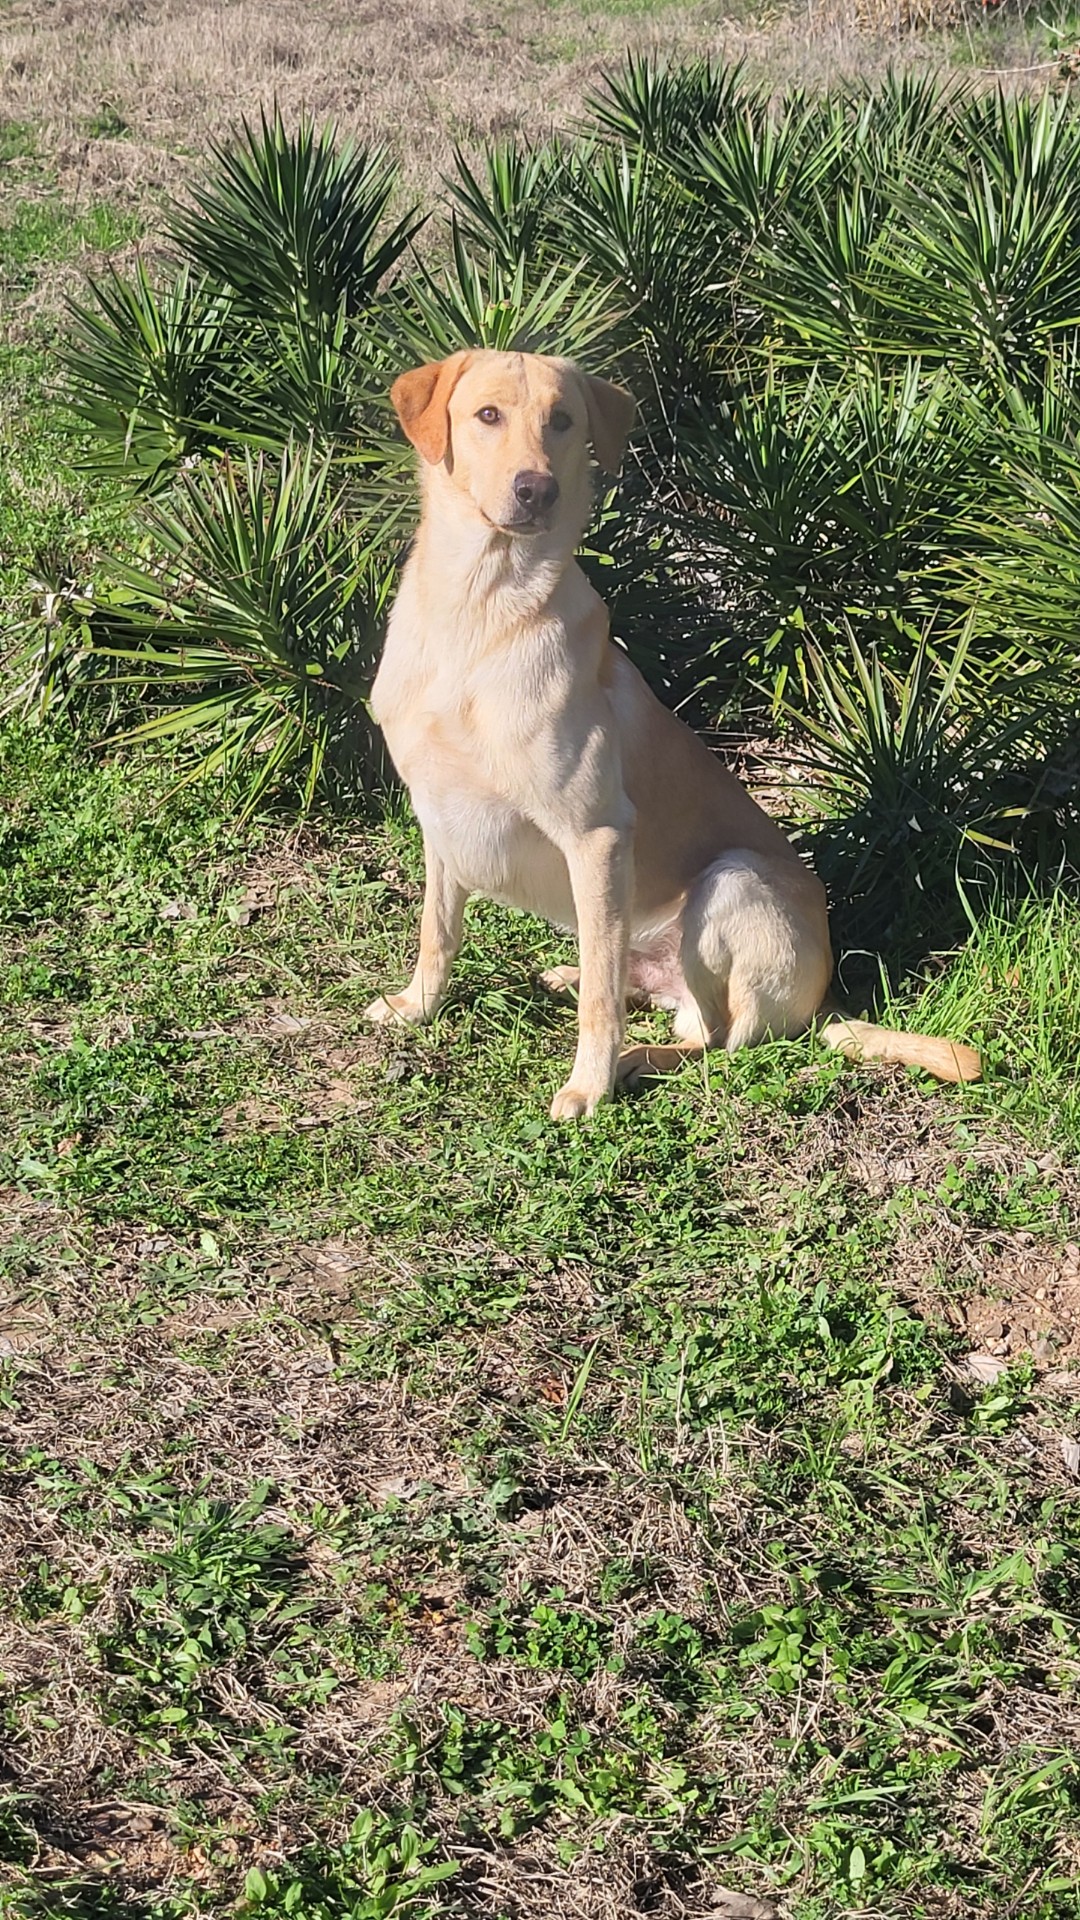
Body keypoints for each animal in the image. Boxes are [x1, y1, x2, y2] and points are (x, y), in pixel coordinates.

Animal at [365, 349, 980, 1118]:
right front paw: (416, 1006)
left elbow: (600, 1008)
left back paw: (636, 1059)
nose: (536, 490)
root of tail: (825, 1001)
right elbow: (437, 933)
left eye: (561, 420)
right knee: (626, 975)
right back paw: (573, 978)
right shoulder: (441, 819)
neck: (477, 611)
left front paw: (588, 1085)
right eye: (487, 415)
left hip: (731, 881)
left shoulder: (596, 834)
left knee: (712, 1038)